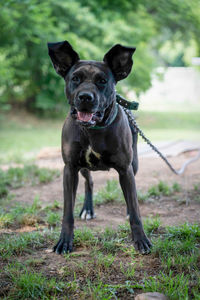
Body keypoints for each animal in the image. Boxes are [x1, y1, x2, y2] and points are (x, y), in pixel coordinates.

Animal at [47, 41, 151, 254]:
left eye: (102, 81)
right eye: (75, 79)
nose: (85, 97)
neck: (92, 130)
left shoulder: (125, 169)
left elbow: (135, 208)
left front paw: (141, 240)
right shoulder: (70, 168)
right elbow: (67, 212)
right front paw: (64, 241)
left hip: (134, 164)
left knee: (131, 195)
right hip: (83, 168)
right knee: (90, 182)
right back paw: (88, 209)